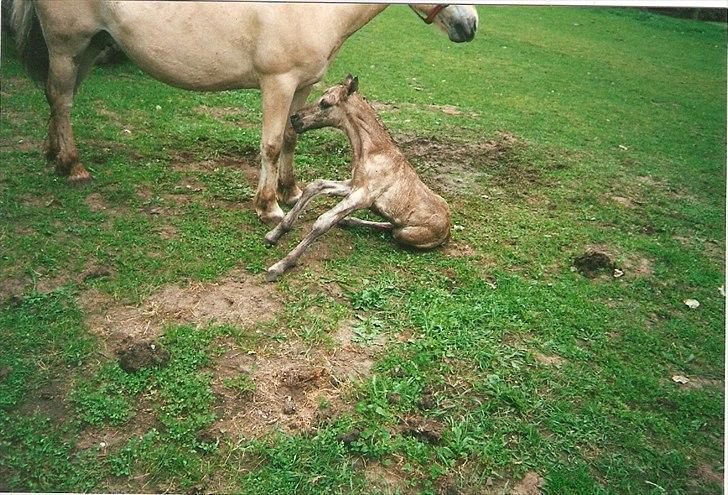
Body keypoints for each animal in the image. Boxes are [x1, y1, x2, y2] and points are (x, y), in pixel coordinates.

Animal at [11, 0, 480, 224]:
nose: (470, 25)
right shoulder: (278, 83)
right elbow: (270, 145)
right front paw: (268, 207)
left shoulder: (302, 85)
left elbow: (291, 136)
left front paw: (290, 192)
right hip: (68, 46)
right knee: (62, 99)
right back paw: (72, 166)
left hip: (91, 47)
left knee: (58, 99)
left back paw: (54, 155)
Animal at [264, 75, 452, 280]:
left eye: (325, 103)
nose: (294, 118)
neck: (373, 153)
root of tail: (448, 230)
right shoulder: (353, 186)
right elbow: (315, 186)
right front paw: (274, 234)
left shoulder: (363, 196)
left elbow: (323, 221)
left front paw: (280, 265)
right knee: (389, 225)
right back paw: (348, 221)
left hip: (406, 233)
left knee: (393, 229)